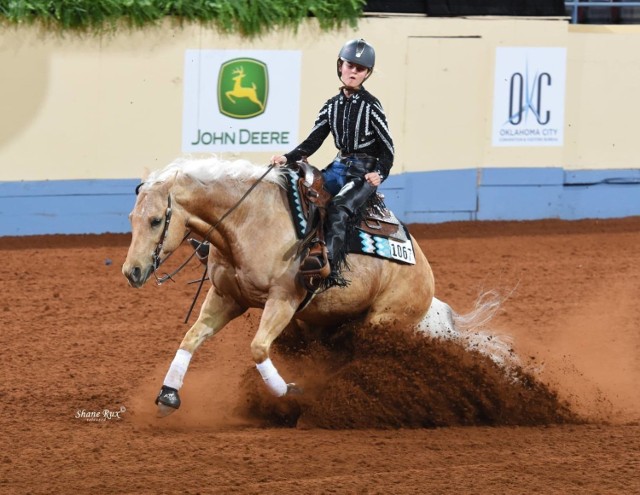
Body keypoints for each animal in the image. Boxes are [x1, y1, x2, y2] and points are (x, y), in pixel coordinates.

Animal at [124, 156, 500, 418]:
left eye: (156, 220)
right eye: (132, 219)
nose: (132, 271)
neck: (249, 221)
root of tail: (426, 277)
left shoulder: (283, 301)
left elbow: (258, 348)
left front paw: (290, 392)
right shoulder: (227, 297)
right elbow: (191, 338)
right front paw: (169, 395)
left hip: (383, 321)